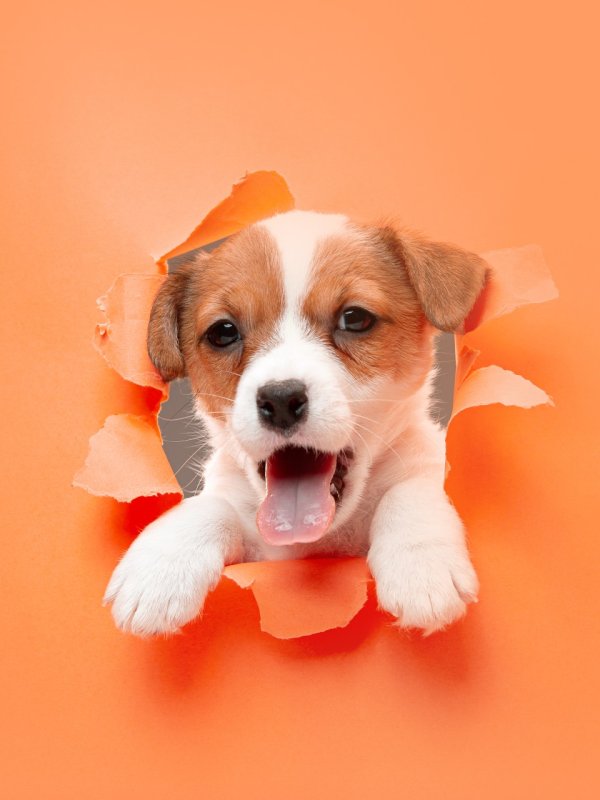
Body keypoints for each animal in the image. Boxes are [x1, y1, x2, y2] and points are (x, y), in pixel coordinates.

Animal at [103, 210, 487, 636]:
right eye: (223, 332)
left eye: (355, 318)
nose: (281, 400)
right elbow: (209, 507)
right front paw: (161, 566)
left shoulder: (424, 461)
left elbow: (410, 490)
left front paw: (420, 564)